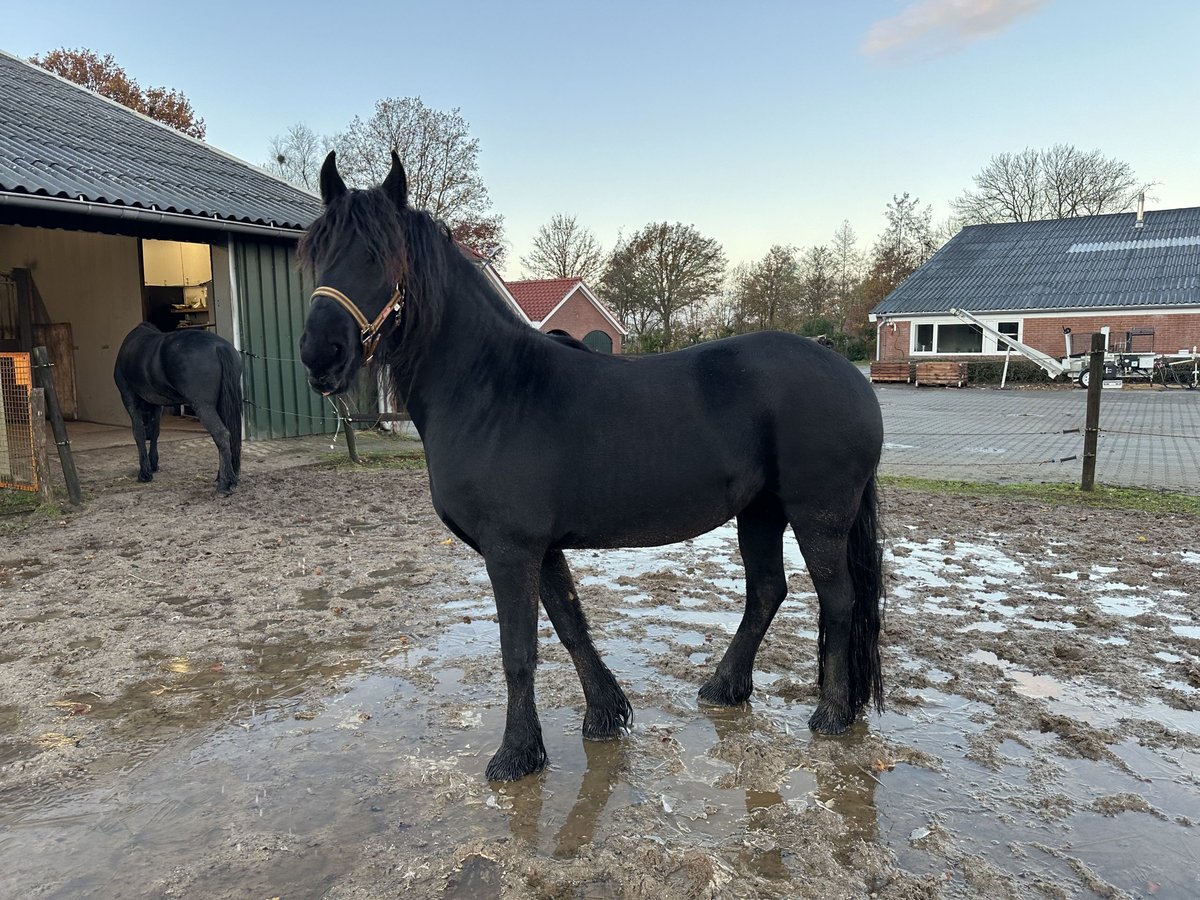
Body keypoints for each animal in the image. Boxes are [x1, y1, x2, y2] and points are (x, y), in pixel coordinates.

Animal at [114, 324, 243, 494]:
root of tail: (219, 347)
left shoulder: (129, 399)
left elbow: (138, 433)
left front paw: (144, 473)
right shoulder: (157, 404)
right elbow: (155, 432)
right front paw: (153, 464)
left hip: (203, 406)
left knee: (221, 434)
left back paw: (224, 484)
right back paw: (225, 477)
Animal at [296, 150, 888, 782]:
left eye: (380, 255)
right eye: (318, 252)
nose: (320, 355)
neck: (491, 389)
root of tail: (852, 377)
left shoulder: (511, 549)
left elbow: (519, 651)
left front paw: (516, 754)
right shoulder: (542, 546)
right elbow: (571, 624)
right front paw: (605, 715)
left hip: (818, 515)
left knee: (838, 600)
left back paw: (832, 714)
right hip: (760, 512)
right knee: (767, 592)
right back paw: (724, 687)